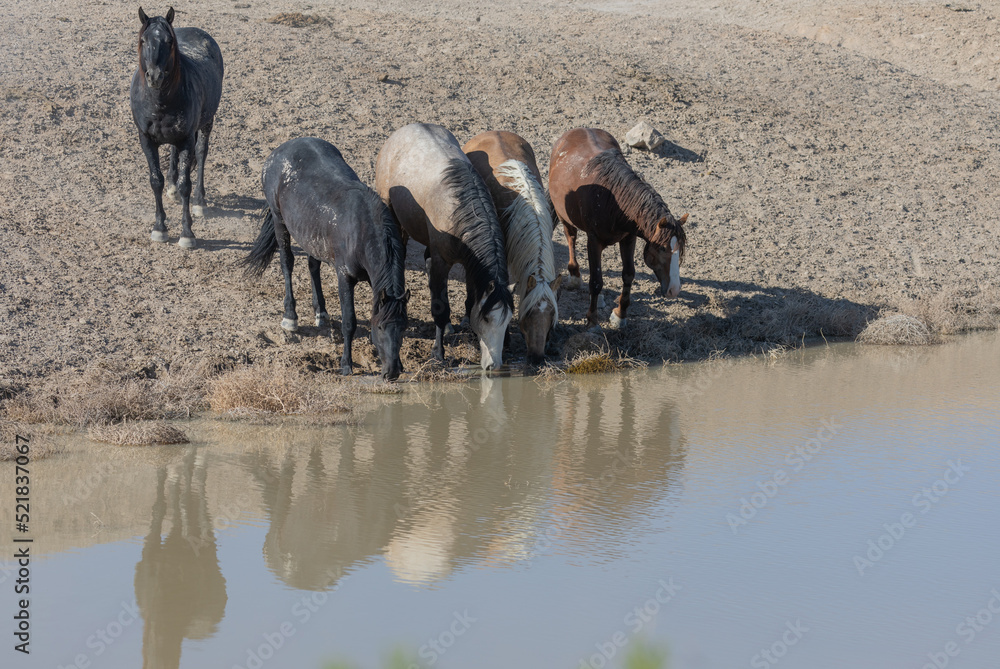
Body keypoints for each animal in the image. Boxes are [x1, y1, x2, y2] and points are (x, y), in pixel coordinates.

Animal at [130, 7, 224, 248]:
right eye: (143, 40)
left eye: (169, 41)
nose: (154, 76)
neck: (159, 102)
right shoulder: (146, 139)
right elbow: (156, 181)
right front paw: (159, 228)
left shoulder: (186, 139)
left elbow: (185, 184)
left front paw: (187, 233)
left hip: (206, 123)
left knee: (201, 154)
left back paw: (200, 202)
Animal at [241, 137, 409, 380]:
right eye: (380, 328)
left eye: (403, 327)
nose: (392, 372)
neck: (362, 229)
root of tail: (280, 150)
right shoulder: (345, 277)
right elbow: (349, 321)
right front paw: (346, 365)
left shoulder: (373, 279)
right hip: (279, 220)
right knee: (287, 263)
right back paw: (290, 317)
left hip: (311, 236)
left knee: (313, 266)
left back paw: (320, 312)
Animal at [375, 123, 513, 371]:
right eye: (487, 318)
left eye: (508, 320)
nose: (494, 365)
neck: (461, 210)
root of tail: (404, 129)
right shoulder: (442, 263)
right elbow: (439, 307)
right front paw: (438, 353)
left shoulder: (471, 264)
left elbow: (470, 299)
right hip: (394, 217)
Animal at [548, 128, 688, 328]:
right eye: (662, 249)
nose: (674, 290)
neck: (614, 202)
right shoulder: (594, 241)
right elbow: (596, 281)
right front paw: (592, 319)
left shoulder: (629, 238)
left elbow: (628, 274)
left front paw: (620, 315)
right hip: (564, 217)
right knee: (571, 238)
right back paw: (574, 275)